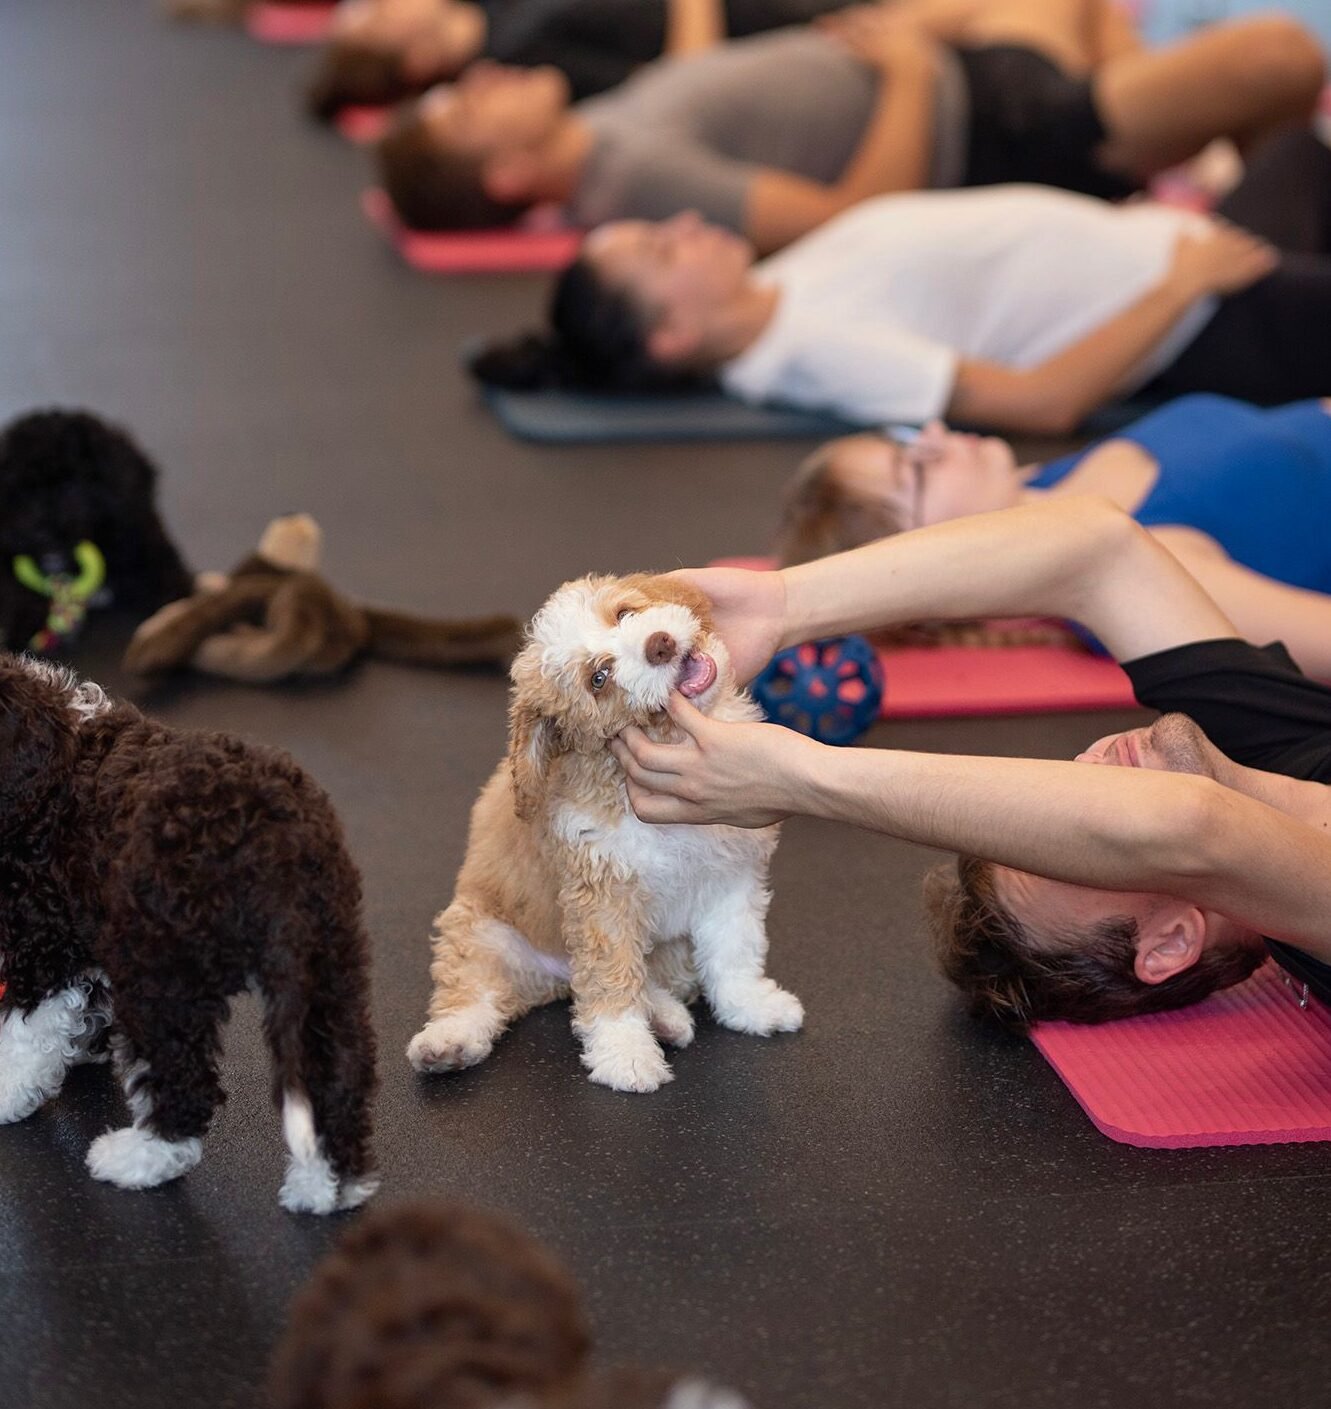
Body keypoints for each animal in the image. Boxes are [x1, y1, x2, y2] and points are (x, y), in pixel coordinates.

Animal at [0, 408, 192, 648]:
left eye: (73, 488)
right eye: (21, 492)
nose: (41, 535)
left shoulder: (144, 541)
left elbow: (166, 577)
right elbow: (13, 587)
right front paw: (27, 620)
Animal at [0, 648, 380, 1211]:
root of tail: (278, 839)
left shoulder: (44, 934)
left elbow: (28, 1027)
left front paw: (9, 1087)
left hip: (162, 972)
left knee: (183, 1078)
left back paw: (142, 1156)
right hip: (327, 962)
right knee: (333, 1071)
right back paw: (327, 1185)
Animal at [408, 572, 800, 1087]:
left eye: (624, 614)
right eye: (599, 678)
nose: (659, 645)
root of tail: (555, 979)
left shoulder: (731, 878)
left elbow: (736, 951)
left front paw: (752, 1005)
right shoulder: (602, 892)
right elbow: (611, 979)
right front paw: (625, 1053)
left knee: (650, 981)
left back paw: (665, 1018)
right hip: (480, 931)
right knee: (476, 991)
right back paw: (447, 1042)